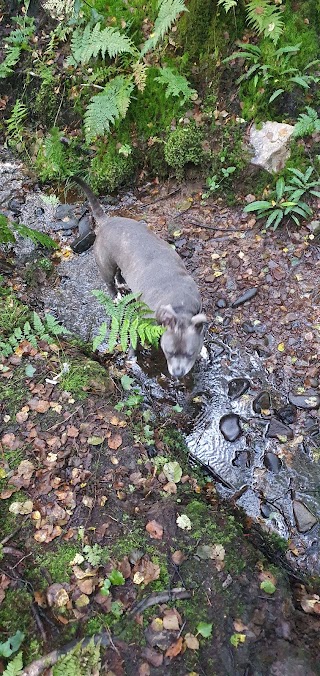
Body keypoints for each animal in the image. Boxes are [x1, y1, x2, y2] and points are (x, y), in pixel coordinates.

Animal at [74, 177, 206, 378]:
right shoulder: (142, 320)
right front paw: (132, 356)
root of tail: (106, 221)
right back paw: (116, 296)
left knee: (120, 272)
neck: (180, 305)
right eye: (169, 352)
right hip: (105, 264)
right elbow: (135, 336)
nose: (177, 374)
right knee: (109, 282)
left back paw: (122, 282)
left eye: (190, 353)